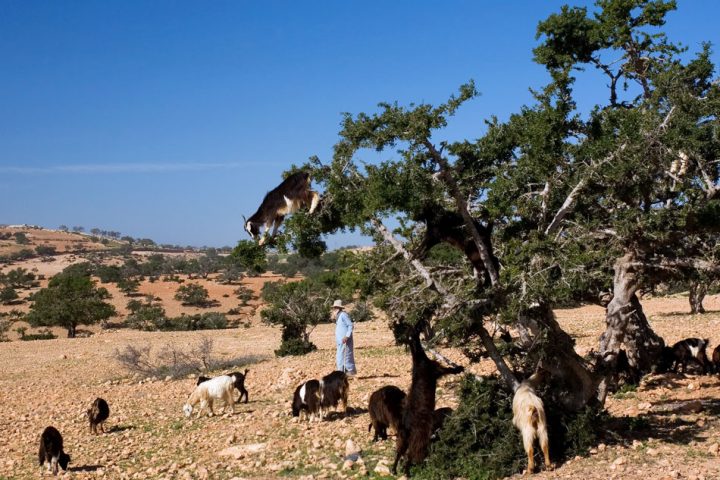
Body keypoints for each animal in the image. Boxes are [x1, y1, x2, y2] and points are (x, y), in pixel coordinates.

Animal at [392, 330, 464, 476]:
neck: (419, 361)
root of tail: (406, 425)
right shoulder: (436, 370)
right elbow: (447, 370)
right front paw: (459, 368)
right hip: (419, 435)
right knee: (412, 453)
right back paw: (407, 471)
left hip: (403, 436)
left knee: (400, 451)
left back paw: (394, 469)